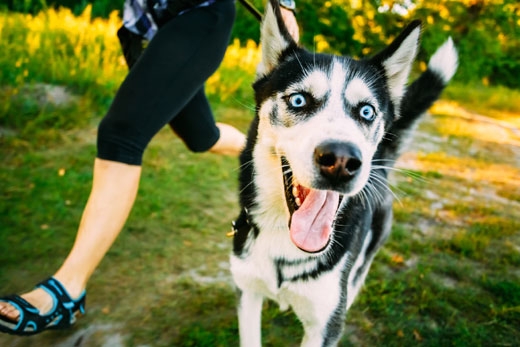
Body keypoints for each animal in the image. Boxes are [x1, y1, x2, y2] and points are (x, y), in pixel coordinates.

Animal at [230, 1, 458, 346]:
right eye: (299, 100)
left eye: (367, 111)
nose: (340, 159)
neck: (286, 242)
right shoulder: (247, 294)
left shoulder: (324, 326)